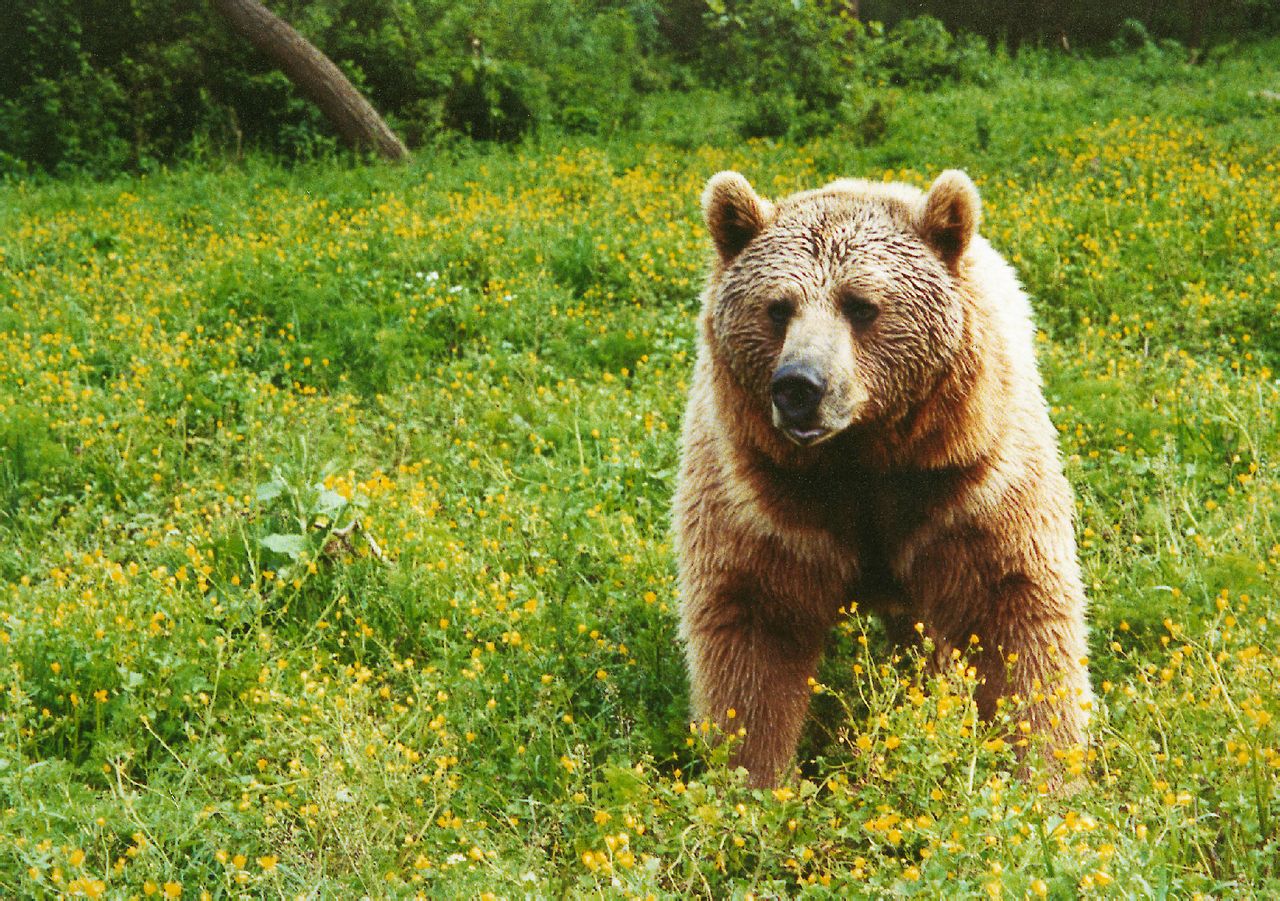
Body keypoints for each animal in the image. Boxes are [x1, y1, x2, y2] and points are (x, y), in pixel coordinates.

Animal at [670, 168, 1090, 788]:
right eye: (778, 308)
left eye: (861, 305)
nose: (799, 386)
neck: (862, 460)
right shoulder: (764, 499)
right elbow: (753, 634)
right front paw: (754, 778)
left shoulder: (973, 486)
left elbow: (1018, 610)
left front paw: (1045, 770)